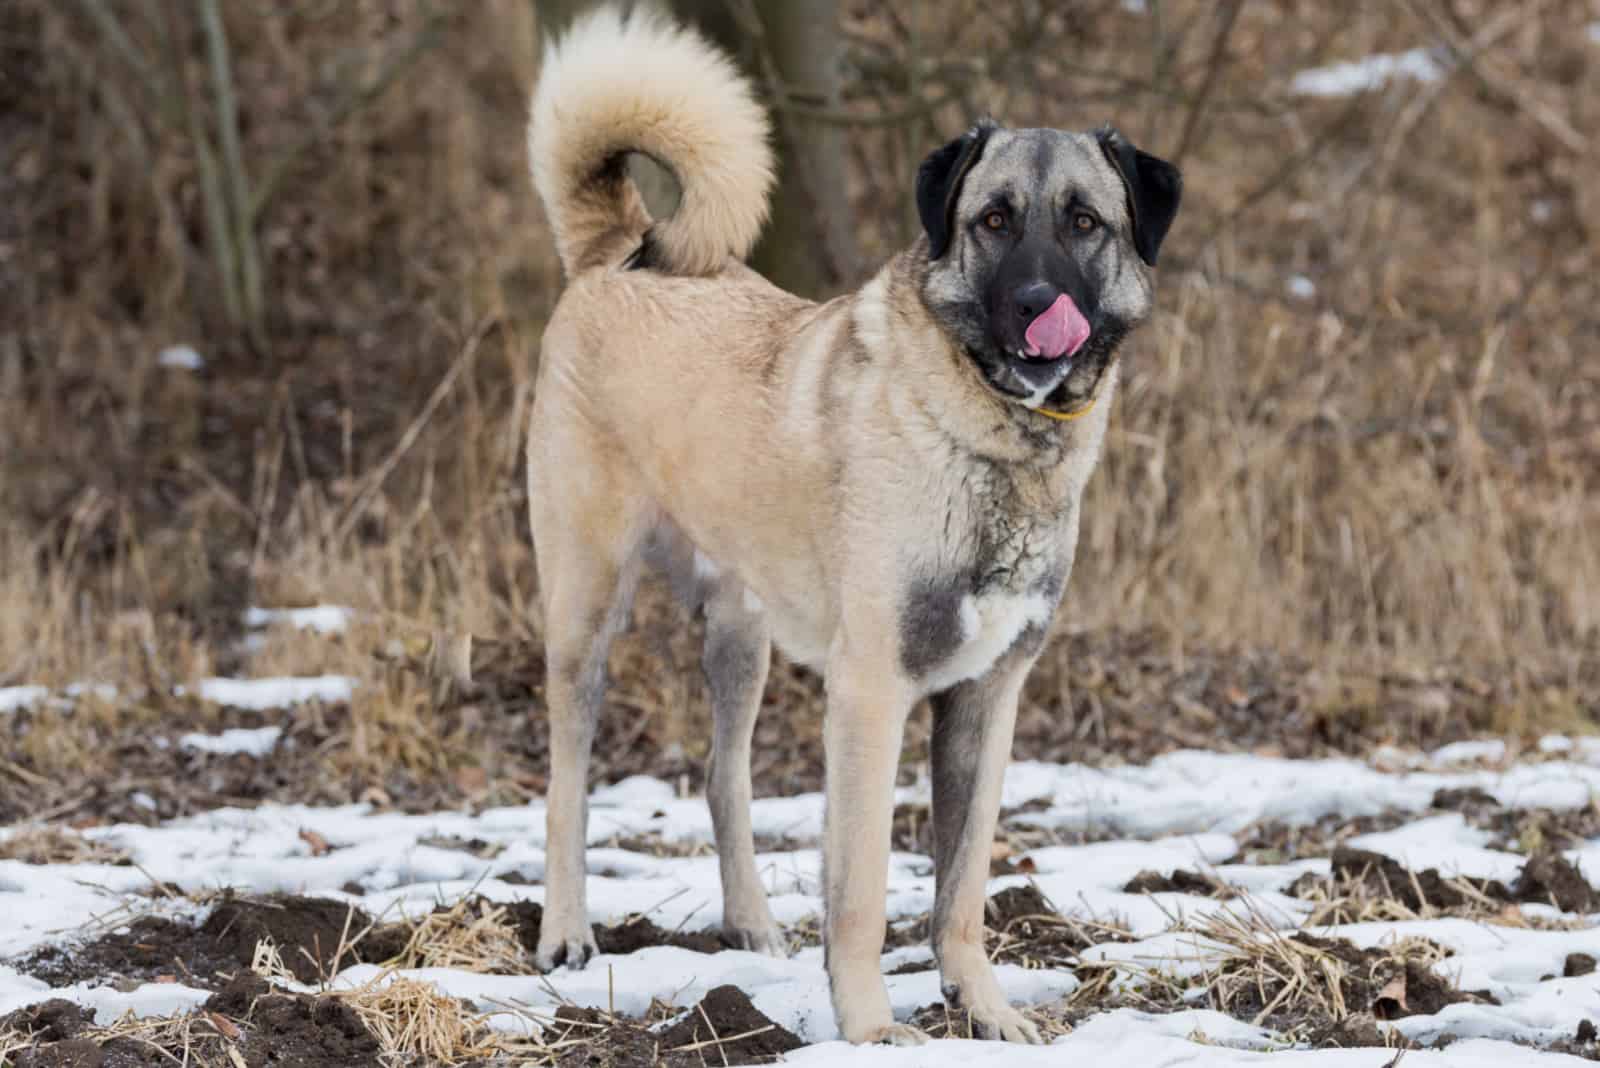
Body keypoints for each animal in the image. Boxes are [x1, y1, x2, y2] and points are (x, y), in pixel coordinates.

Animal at [521, 4, 1177, 1048]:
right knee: (566, 784)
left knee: (725, 779)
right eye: (993, 220)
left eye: (1085, 222)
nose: (1039, 307)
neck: (990, 437)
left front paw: (983, 1009)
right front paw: (870, 1028)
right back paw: (567, 935)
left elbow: (961, 889)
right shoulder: (872, 694)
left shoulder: (987, 700)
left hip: (739, 636)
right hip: (585, 611)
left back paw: (750, 923)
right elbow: (864, 888)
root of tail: (618, 250)